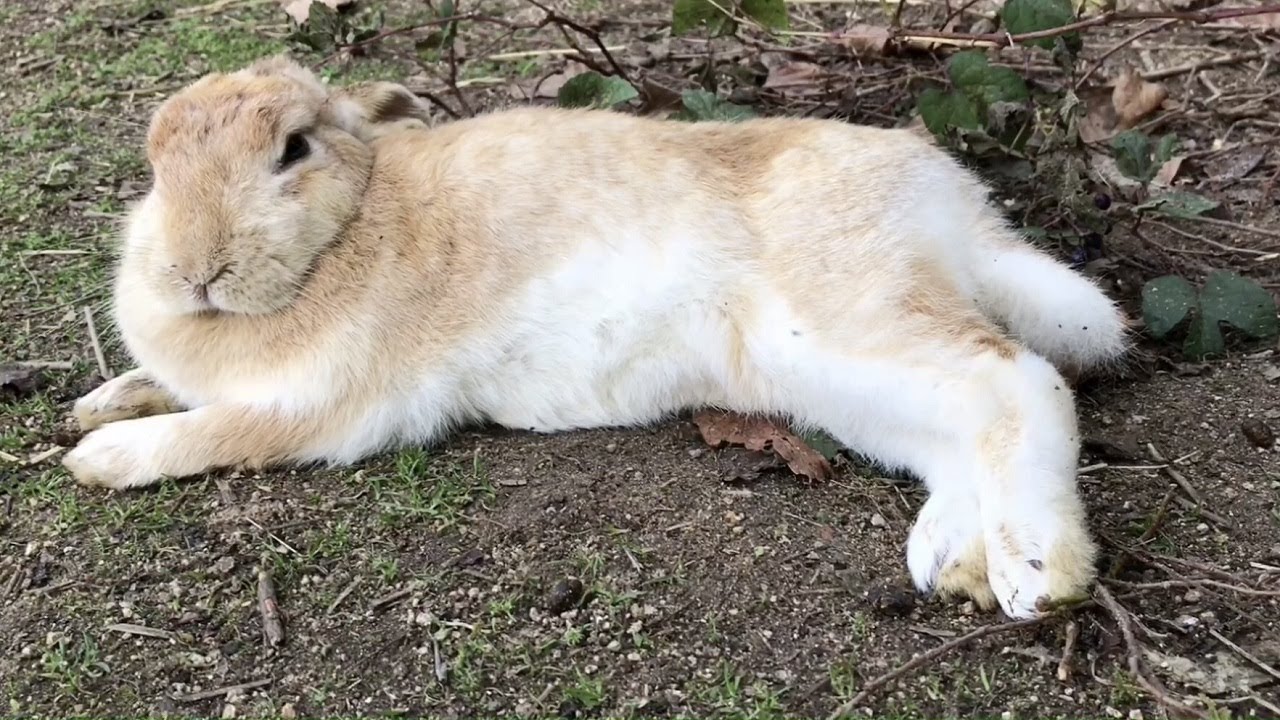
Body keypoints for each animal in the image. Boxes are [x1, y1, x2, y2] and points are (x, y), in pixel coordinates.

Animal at [63, 54, 1129, 619]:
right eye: (155, 169)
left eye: (292, 150)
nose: (193, 270)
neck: (350, 224)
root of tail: (955, 207)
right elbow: (164, 391)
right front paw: (98, 403)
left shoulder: (325, 409)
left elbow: (208, 431)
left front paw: (98, 459)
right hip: (818, 373)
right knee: (958, 419)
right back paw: (954, 559)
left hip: (844, 314)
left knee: (1019, 378)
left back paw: (1035, 571)